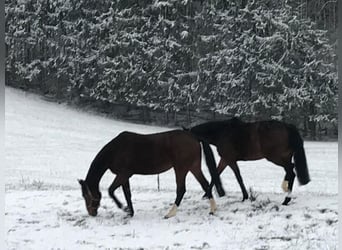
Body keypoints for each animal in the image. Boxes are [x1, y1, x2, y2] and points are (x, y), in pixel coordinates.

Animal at [79, 130, 226, 218]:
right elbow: (127, 194)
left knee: (181, 190)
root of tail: (194, 136)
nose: (92, 213)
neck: (116, 150)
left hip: (181, 169)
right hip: (193, 167)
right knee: (205, 185)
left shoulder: (123, 174)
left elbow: (111, 190)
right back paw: (212, 210)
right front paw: (130, 212)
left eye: (86, 195)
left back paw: (170, 214)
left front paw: (123, 208)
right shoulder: (125, 176)